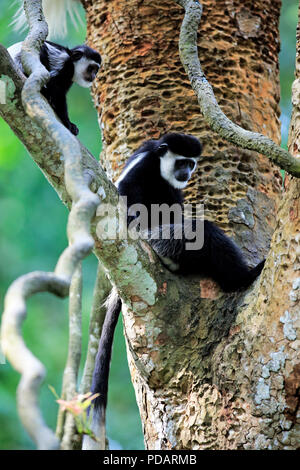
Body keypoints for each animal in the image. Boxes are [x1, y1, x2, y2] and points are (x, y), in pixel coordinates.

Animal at [9, 0, 101, 135]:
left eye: (96, 70)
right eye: (91, 68)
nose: (94, 76)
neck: (72, 64)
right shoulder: (64, 66)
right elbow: (56, 89)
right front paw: (69, 123)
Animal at [82, 132, 264, 448]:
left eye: (191, 163)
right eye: (182, 162)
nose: (187, 172)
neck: (159, 164)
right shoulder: (142, 170)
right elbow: (129, 199)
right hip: (162, 243)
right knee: (201, 233)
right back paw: (244, 277)